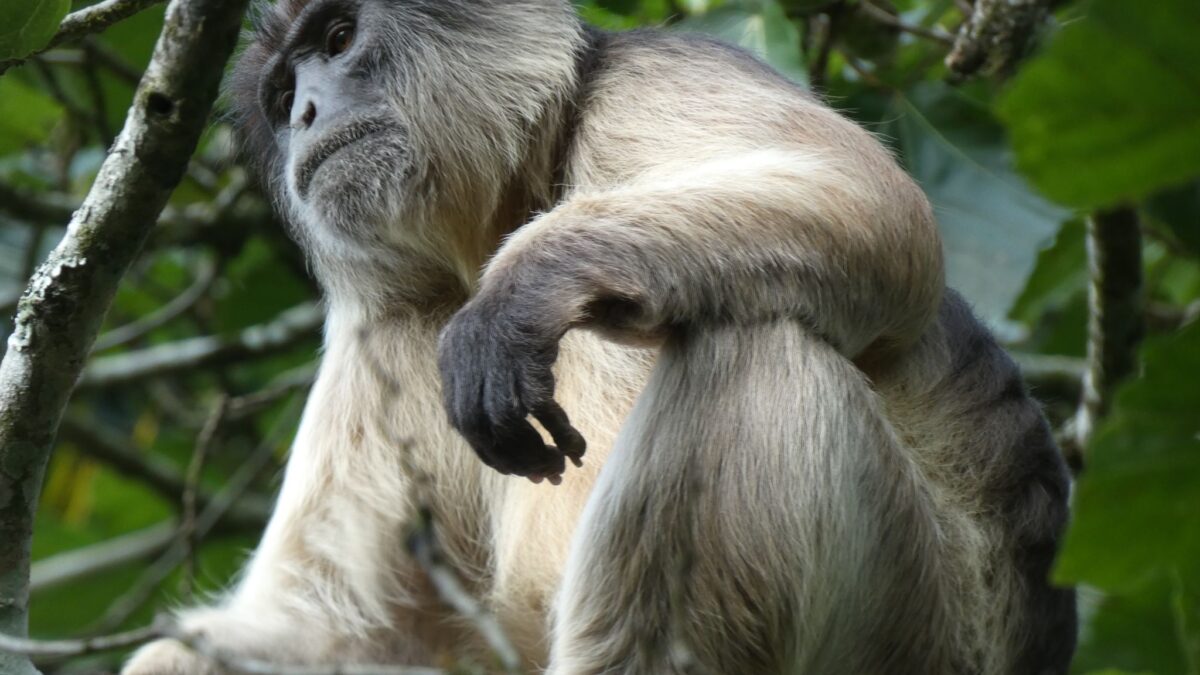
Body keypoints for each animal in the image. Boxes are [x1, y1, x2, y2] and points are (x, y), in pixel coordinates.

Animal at [122, 0, 1076, 673]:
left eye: (340, 36)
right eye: (283, 98)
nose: (309, 114)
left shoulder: (651, 71)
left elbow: (876, 209)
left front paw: (516, 294)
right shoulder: (392, 318)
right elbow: (341, 625)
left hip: (923, 621)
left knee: (749, 344)